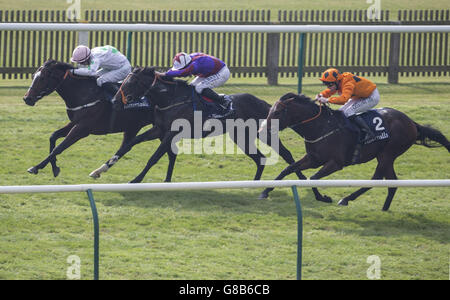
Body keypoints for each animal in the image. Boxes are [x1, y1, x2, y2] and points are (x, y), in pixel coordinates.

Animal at [22, 59, 176, 180]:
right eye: (34, 76)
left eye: (42, 78)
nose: (27, 98)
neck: (84, 93)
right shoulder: (75, 123)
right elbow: (53, 137)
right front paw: (54, 168)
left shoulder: (83, 128)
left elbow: (60, 147)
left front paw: (36, 167)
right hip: (138, 127)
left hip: (162, 129)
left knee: (169, 153)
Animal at [95, 66, 304, 183]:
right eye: (124, 81)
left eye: (131, 83)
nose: (115, 101)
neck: (170, 99)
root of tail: (265, 104)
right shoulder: (159, 129)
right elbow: (130, 144)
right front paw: (101, 168)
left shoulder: (171, 133)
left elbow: (154, 158)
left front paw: (136, 180)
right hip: (241, 136)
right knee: (259, 158)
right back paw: (254, 185)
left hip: (263, 133)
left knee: (285, 153)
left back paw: (302, 180)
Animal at [258, 92, 450, 211]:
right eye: (270, 110)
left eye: (278, 112)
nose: (262, 130)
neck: (321, 126)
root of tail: (412, 123)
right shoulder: (313, 158)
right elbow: (288, 169)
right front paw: (265, 191)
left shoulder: (336, 163)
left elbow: (312, 178)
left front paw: (323, 198)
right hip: (386, 156)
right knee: (392, 182)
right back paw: (384, 208)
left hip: (387, 154)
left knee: (376, 179)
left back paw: (346, 199)